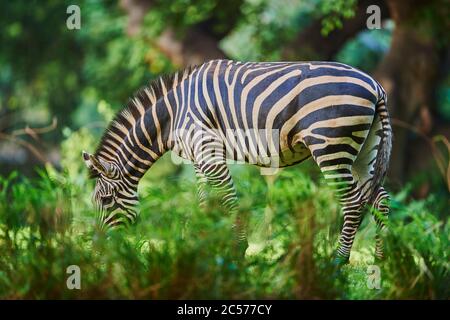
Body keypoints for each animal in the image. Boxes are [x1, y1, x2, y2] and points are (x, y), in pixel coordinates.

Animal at [82, 58, 392, 264]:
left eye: (106, 201)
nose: (96, 253)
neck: (173, 115)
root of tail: (375, 85)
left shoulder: (208, 150)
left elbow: (229, 201)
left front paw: (237, 251)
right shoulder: (198, 159)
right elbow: (205, 202)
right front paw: (204, 248)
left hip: (331, 147)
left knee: (353, 202)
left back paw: (338, 262)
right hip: (365, 150)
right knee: (379, 198)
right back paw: (382, 260)